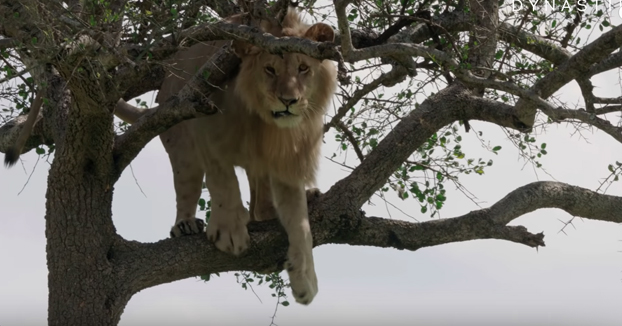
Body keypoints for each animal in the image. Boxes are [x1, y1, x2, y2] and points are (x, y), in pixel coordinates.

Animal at [114, 7, 338, 304]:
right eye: (270, 69)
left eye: (303, 68)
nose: (288, 101)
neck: (265, 122)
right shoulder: (206, 123)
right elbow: (223, 180)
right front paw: (230, 232)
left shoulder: (288, 158)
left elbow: (300, 223)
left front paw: (305, 279)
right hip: (181, 139)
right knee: (187, 186)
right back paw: (185, 224)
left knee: (260, 206)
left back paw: (296, 200)